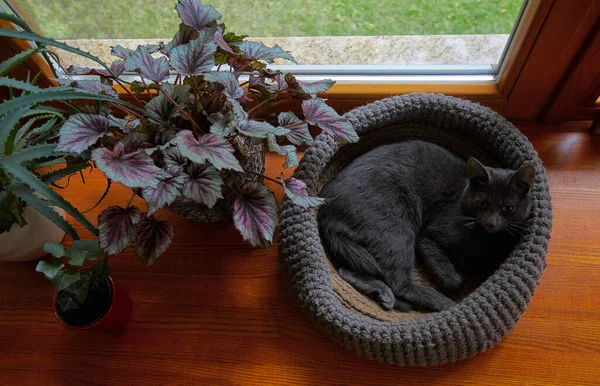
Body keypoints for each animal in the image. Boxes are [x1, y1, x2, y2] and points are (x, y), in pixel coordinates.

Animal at [318, 140, 536, 312]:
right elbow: (451, 277)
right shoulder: (428, 237)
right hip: (396, 229)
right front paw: (455, 276)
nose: (491, 222)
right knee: (398, 283)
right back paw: (445, 304)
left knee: (346, 270)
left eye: (508, 208)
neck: (483, 238)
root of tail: (325, 211)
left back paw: (382, 294)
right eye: (483, 203)